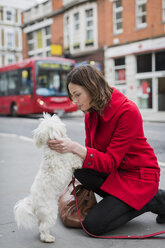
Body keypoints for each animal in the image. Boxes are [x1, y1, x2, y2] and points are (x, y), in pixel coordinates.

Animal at [13, 113, 82, 243]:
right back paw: (48, 238)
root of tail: (33, 203)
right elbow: (77, 159)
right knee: (44, 227)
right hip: (50, 212)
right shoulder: (71, 160)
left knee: (40, 224)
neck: (53, 147)